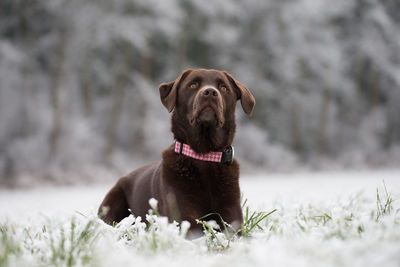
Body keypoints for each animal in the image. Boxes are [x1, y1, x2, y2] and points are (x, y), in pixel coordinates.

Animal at [99, 69, 256, 234]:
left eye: (224, 88)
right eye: (192, 85)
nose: (210, 92)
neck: (205, 155)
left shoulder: (231, 218)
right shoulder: (182, 216)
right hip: (114, 200)